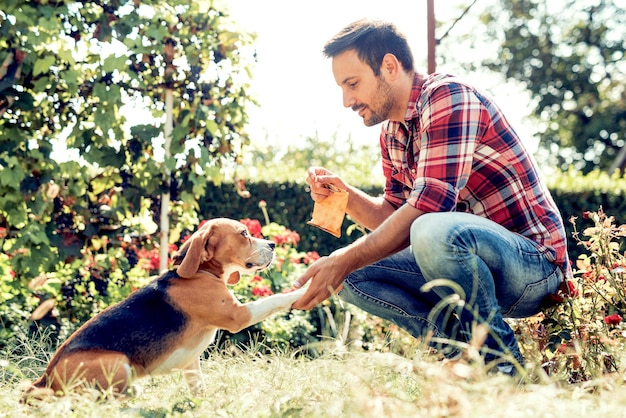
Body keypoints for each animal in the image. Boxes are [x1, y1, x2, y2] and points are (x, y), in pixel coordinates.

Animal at [23, 219, 306, 398]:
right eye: (244, 234)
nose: (272, 244)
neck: (201, 271)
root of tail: (44, 380)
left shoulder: (191, 361)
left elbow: (197, 386)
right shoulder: (238, 315)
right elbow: (274, 300)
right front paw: (303, 291)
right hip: (117, 362)